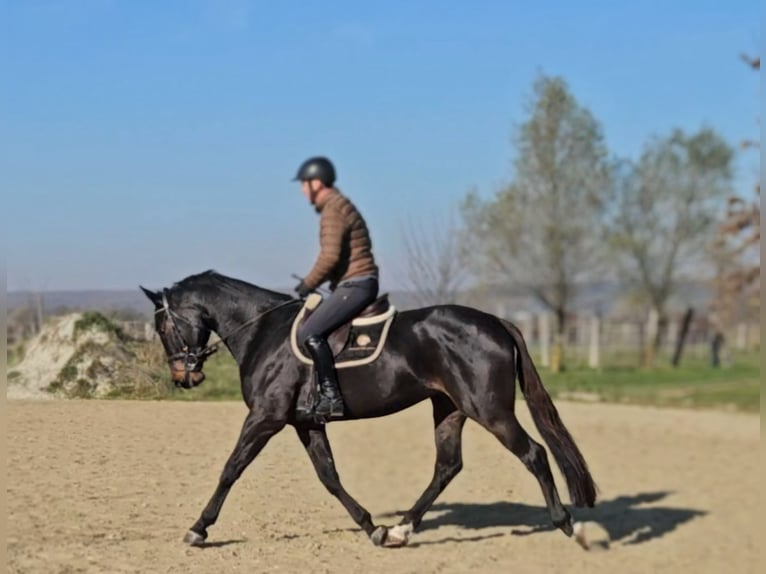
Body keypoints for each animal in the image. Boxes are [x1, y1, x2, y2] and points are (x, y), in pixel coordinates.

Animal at [140, 270, 600, 548]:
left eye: (163, 326)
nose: (184, 378)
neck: (262, 332)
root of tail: (496, 322)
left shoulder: (265, 418)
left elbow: (231, 468)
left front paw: (198, 528)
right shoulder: (304, 423)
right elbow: (328, 476)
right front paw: (372, 526)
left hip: (489, 409)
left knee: (533, 453)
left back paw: (565, 523)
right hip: (449, 408)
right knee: (447, 466)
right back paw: (401, 528)